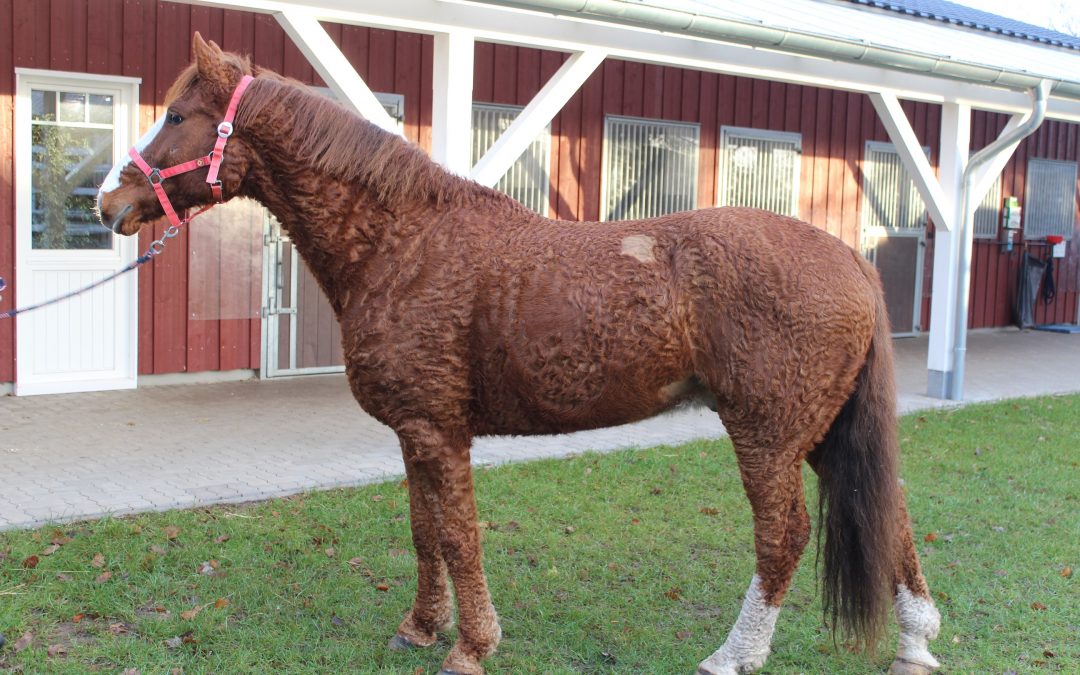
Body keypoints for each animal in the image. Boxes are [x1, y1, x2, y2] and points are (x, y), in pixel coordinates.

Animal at [103, 36, 946, 673]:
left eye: (176, 115)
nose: (110, 202)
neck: (406, 242)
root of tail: (850, 258)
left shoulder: (439, 432)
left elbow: (457, 534)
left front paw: (471, 647)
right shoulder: (415, 431)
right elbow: (423, 530)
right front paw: (419, 627)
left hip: (768, 433)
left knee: (783, 536)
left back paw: (732, 653)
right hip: (824, 430)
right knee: (894, 515)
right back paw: (915, 643)